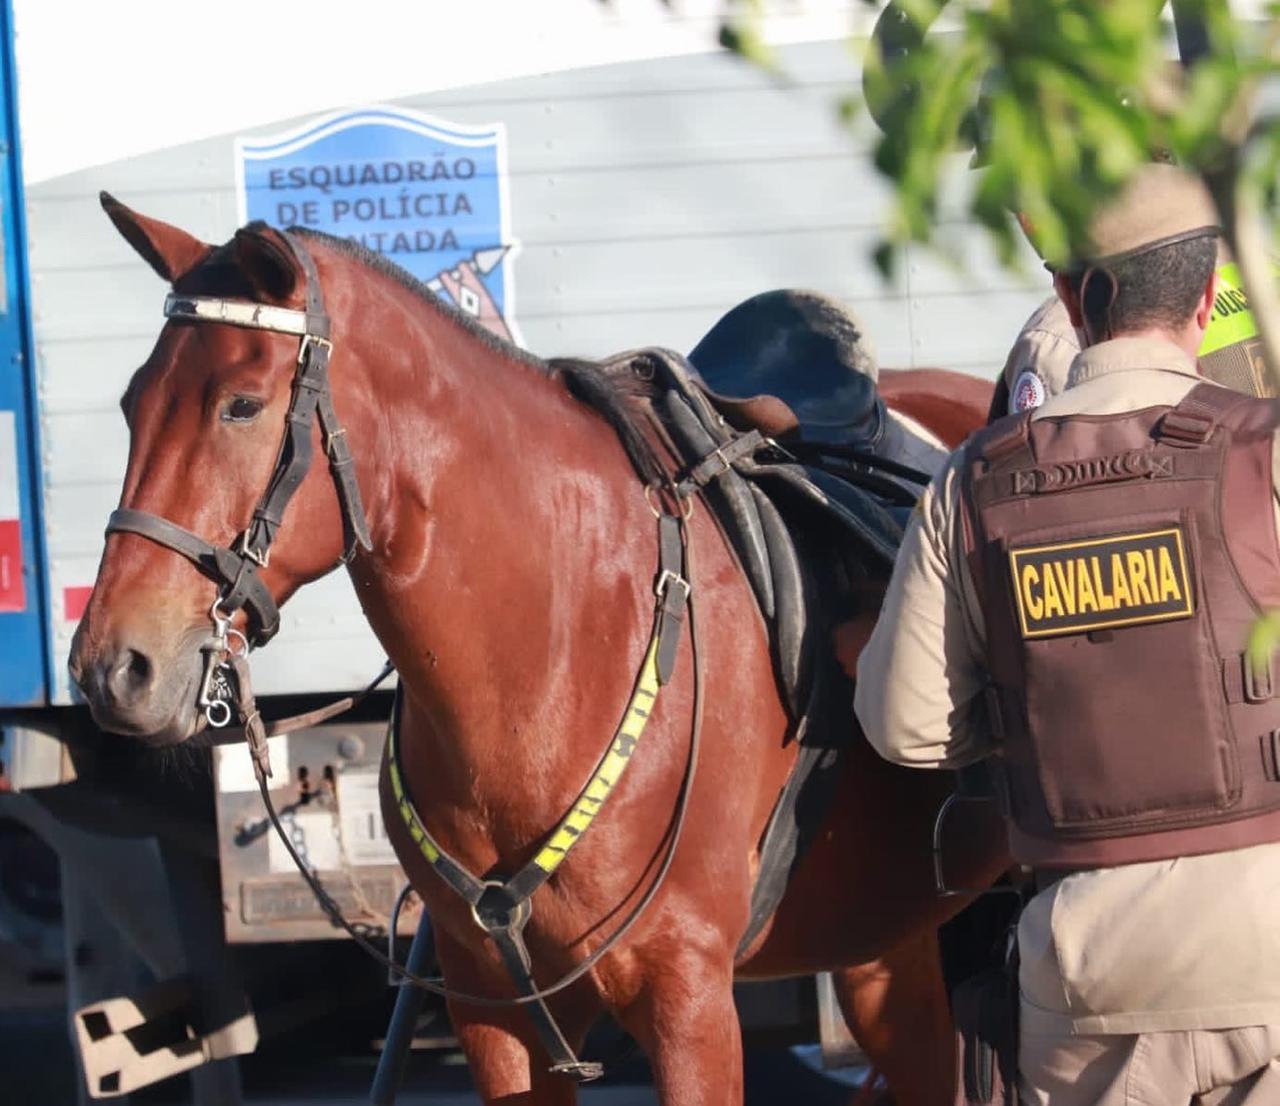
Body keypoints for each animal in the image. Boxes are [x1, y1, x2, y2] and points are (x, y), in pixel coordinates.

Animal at [70, 198, 1008, 1106]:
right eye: (130, 404)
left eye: (241, 404)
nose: (112, 667)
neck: (553, 659)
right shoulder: (497, 1013)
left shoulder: (689, 998)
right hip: (885, 943)